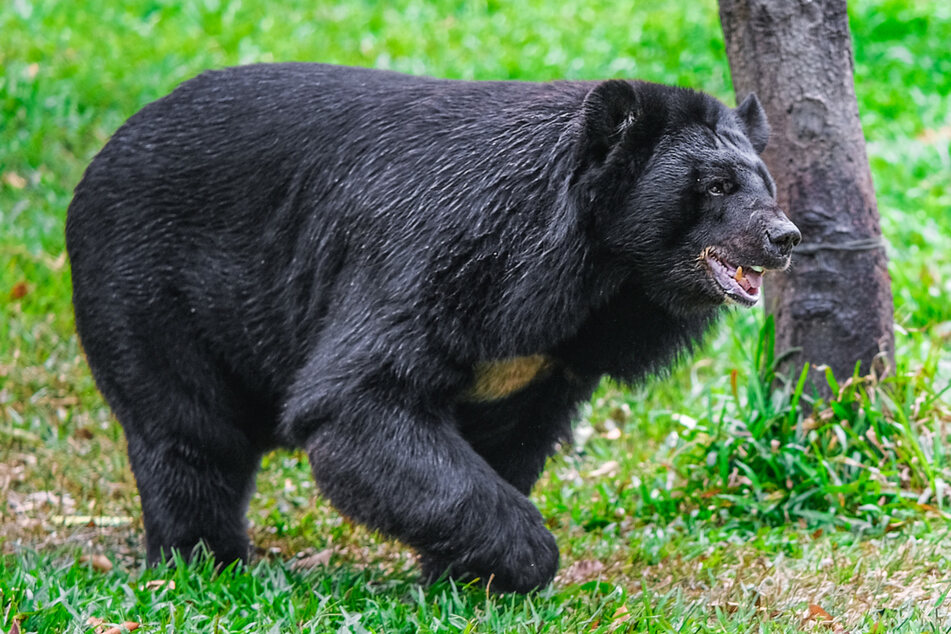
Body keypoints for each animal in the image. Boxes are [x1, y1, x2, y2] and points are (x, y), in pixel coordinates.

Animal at [65, 61, 796, 592]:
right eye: (715, 188)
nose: (784, 237)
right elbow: (356, 403)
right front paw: (527, 558)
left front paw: (464, 577)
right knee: (189, 431)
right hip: (148, 289)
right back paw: (203, 560)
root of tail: (103, 154)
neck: (596, 274)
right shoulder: (438, 260)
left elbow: (507, 440)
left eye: (765, 185)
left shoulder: (542, 355)